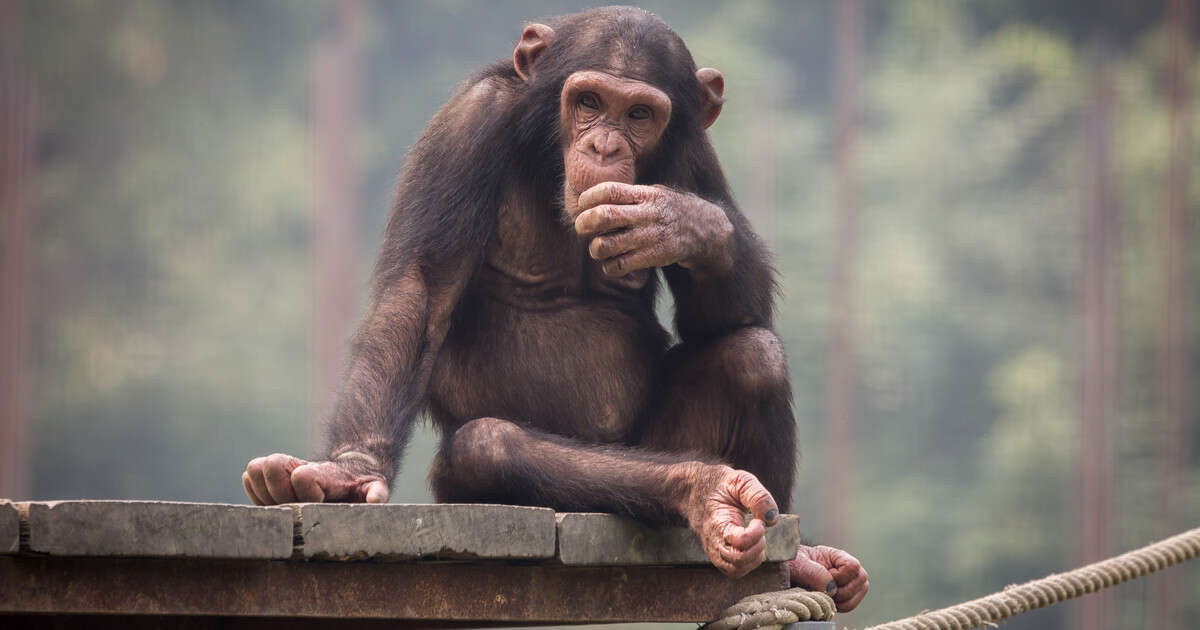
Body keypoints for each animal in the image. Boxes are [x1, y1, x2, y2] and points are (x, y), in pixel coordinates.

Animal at [238, 6, 868, 609]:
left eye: (640, 114)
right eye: (588, 102)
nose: (605, 145)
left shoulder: (696, 151)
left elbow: (731, 319)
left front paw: (681, 223)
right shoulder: (469, 122)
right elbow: (420, 291)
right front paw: (348, 472)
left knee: (753, 356)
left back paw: (798, 557)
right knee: (487, 445)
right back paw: (702, 489)